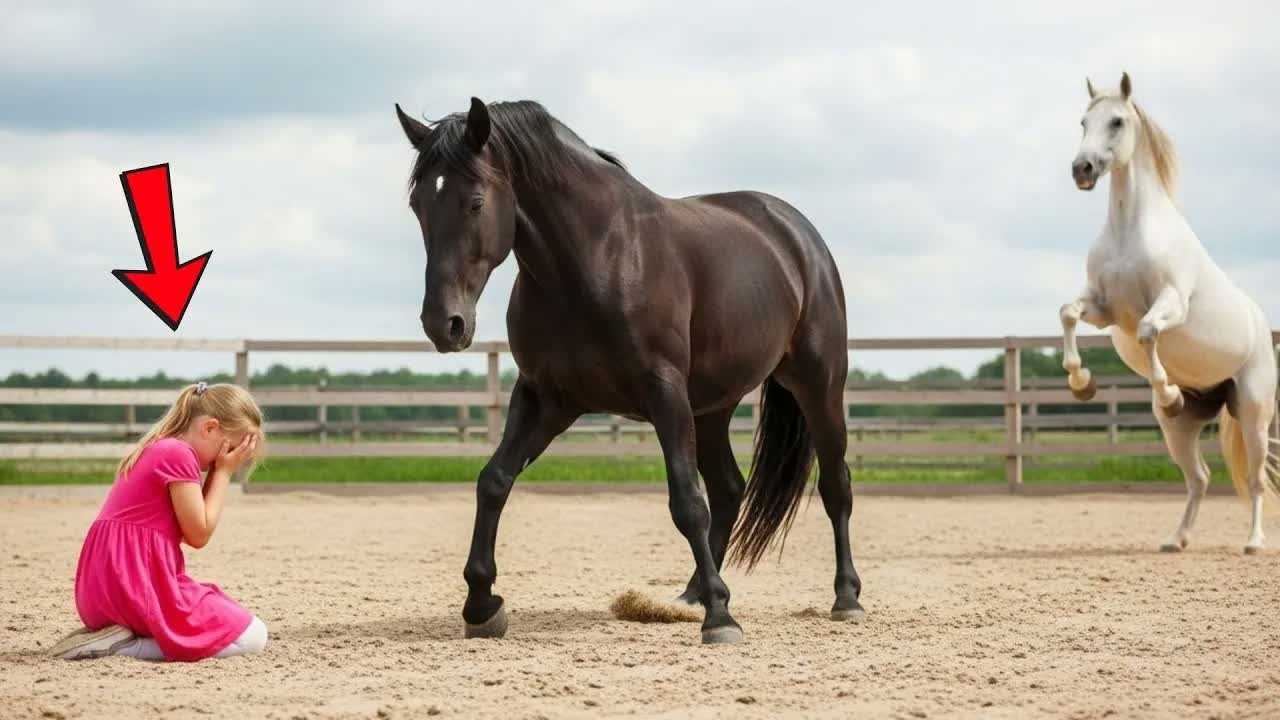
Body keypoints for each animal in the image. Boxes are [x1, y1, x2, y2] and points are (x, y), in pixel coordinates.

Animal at [392, 96, 864, 644]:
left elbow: (686, 501)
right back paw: (692, 594)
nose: (443, 323)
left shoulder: (663, 391)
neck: (596, 260)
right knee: (729, 487)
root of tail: (797, 233)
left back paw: (845, 597)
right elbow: (494, 480)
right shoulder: (546, 398)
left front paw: (721, 619)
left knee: (834, 485)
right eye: (418, 205)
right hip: (712, 406)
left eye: (474, 202)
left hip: (818, 383)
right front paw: (482, 604)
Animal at [1060, 72, 1280, 554]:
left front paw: (1166, 391)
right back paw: (1176, 539)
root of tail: (1260, 324)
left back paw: (1254, 542)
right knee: (1199, 478)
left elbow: (1147, 331)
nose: (1082, 170)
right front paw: (1081, 382)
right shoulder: (1102, 309)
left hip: (1254, 412)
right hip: (1179, 430)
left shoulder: (1170, 303)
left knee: (1255, 479)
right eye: (1082, 121)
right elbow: (1067, 313)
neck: (1130, 230)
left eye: (1117, 121)